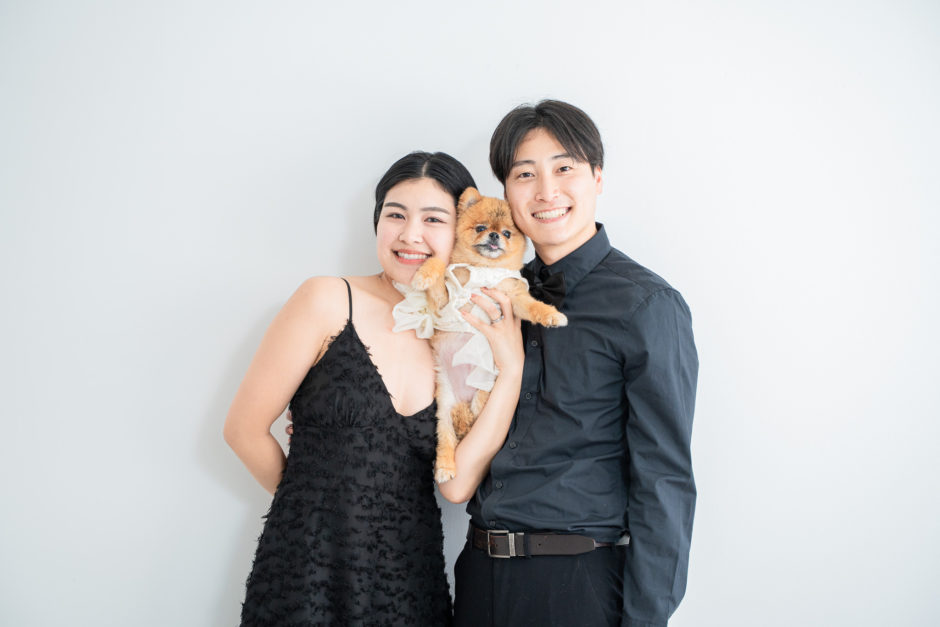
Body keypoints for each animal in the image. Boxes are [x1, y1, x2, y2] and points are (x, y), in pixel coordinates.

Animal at [410, 187, 567, 483]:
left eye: (506, 233)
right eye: (481, 228)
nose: (494, 236)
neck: (483, 270)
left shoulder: (512, 297)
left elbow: (532, 306)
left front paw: (552, 316)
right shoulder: (444, 304)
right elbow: (437, 262)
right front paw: (424, 275)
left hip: (484, 394)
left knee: (471, 422)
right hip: (444, 407)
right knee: (448, 437)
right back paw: (445, 467)